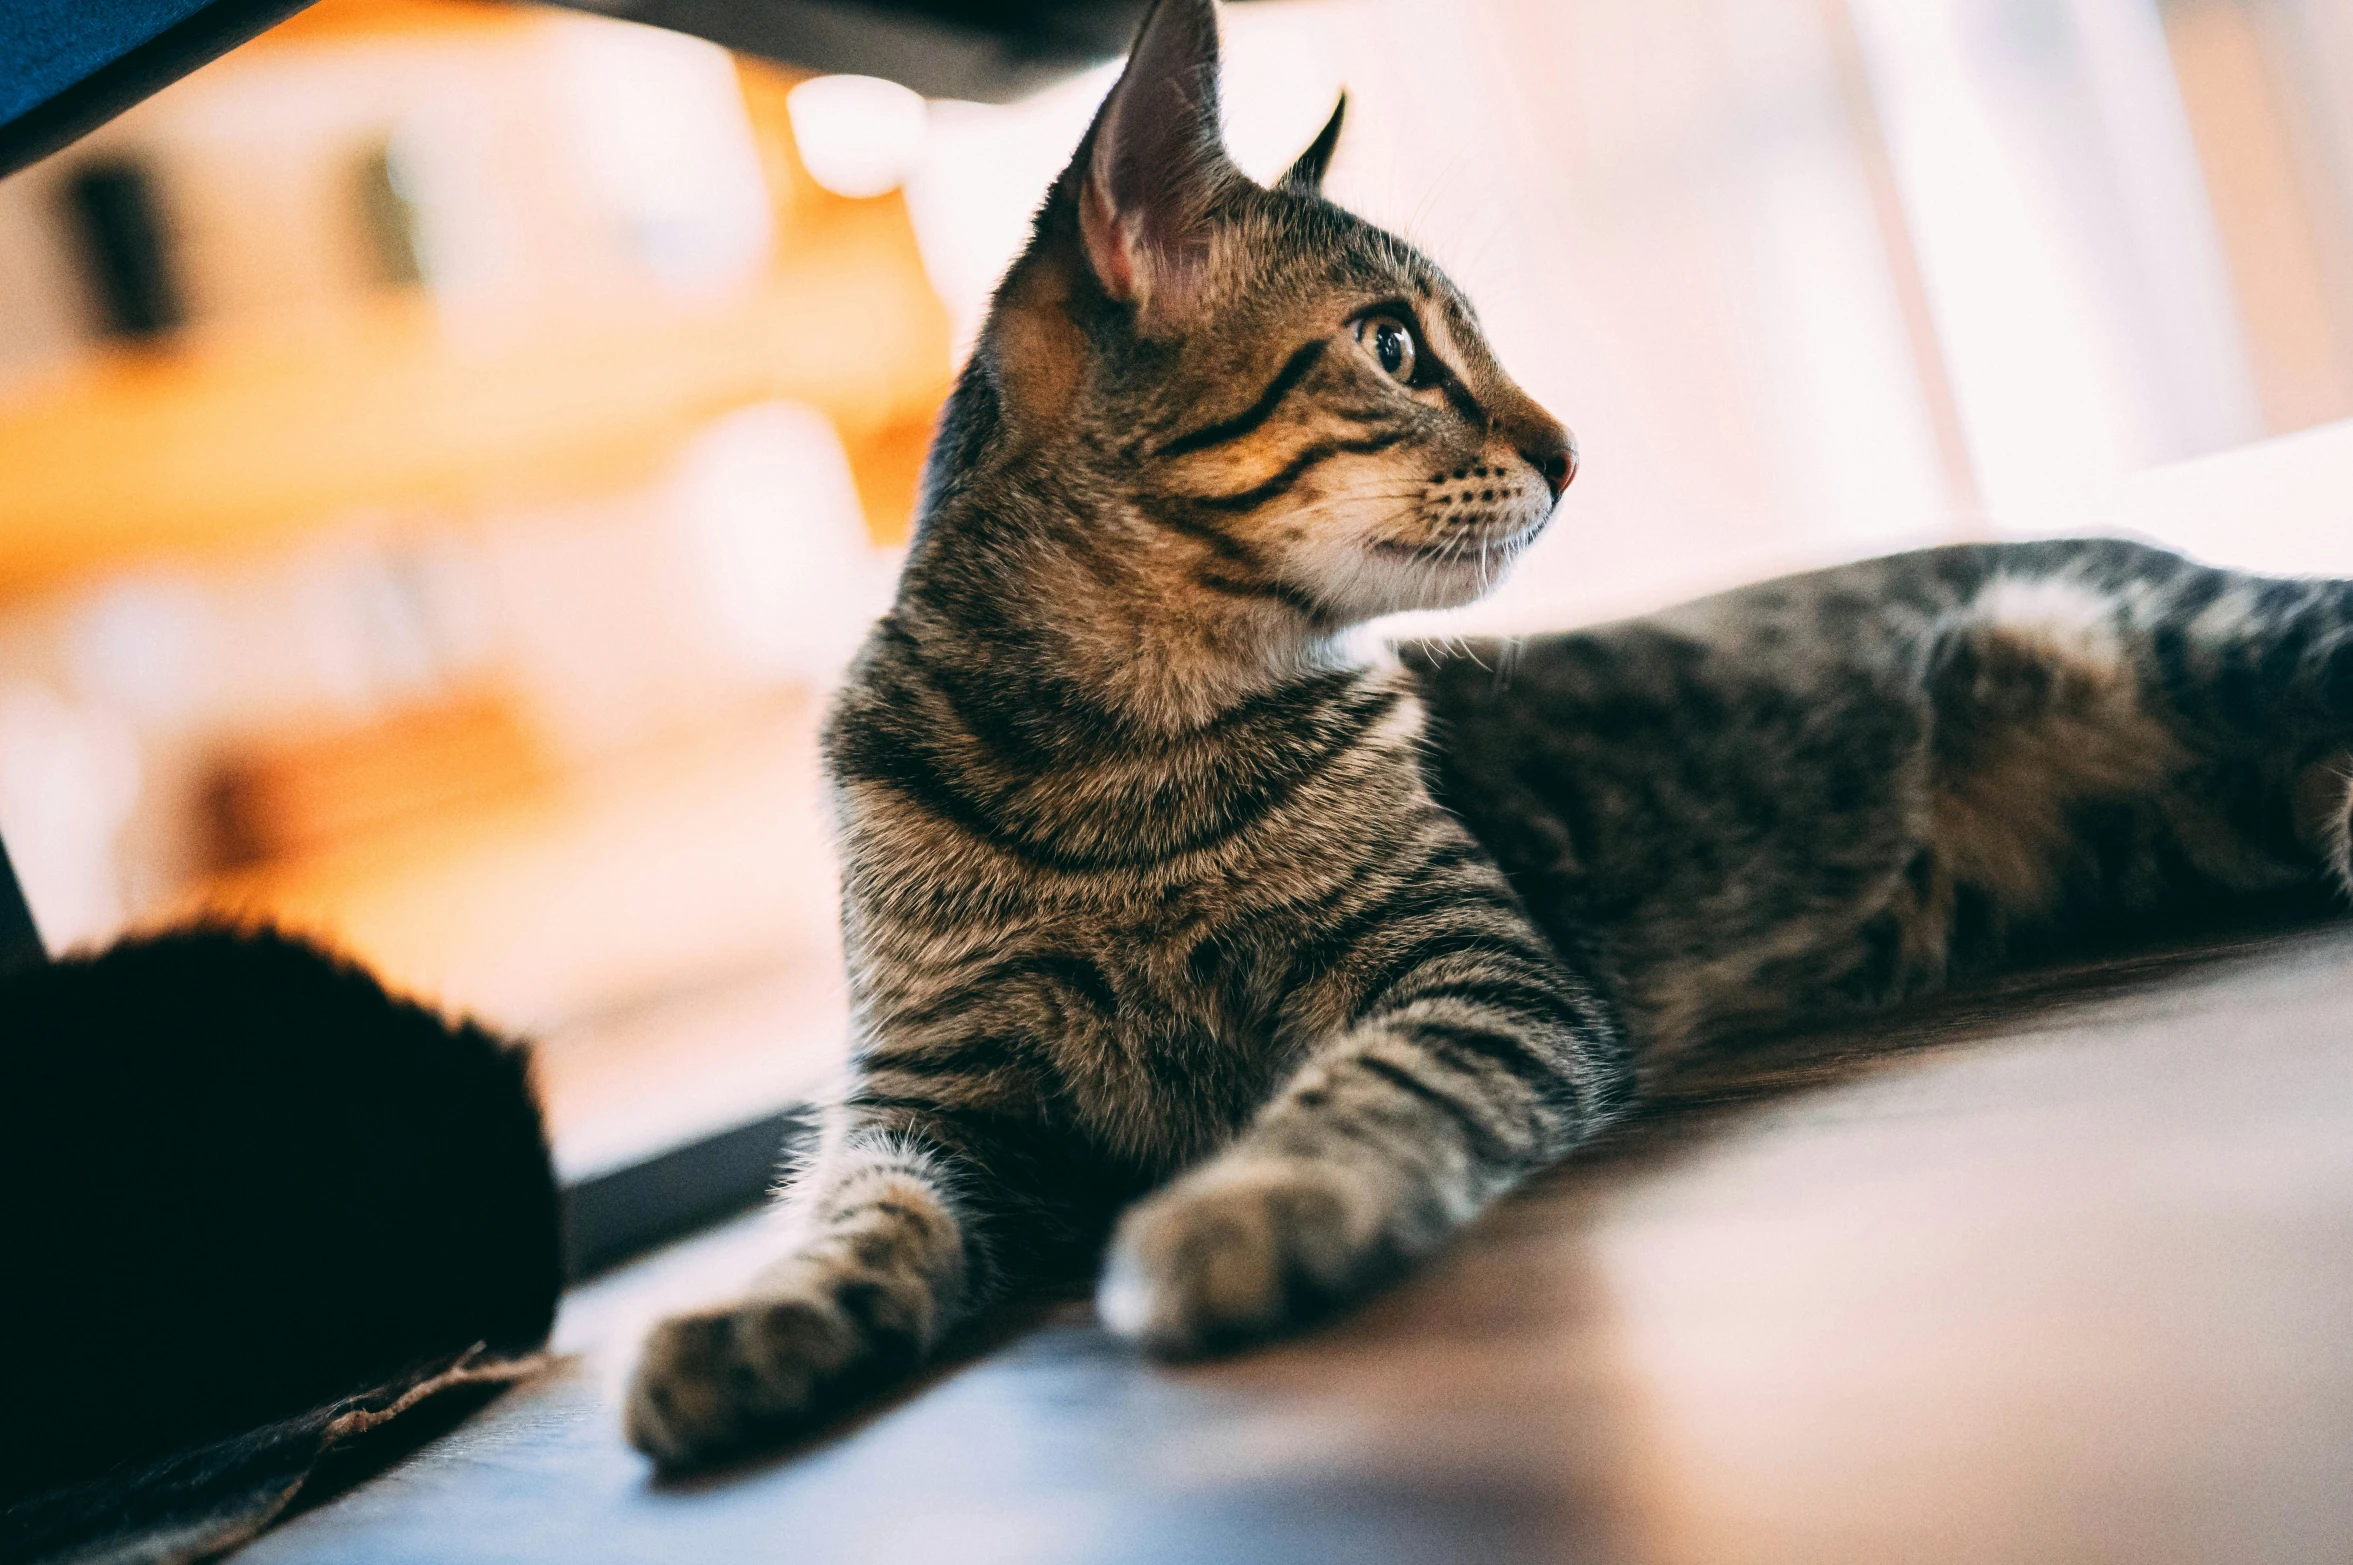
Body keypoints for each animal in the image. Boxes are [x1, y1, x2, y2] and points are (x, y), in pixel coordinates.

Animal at [625, 0, 2353, 1468]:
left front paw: (1248, 1203)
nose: (1573, 451)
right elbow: (857, 1206)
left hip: (2171, 639)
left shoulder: (1467, 970)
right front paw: (757, 1313)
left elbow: (1367, 1092)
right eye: (1394, 348)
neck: (1124, 766)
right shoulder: (927, 1087)